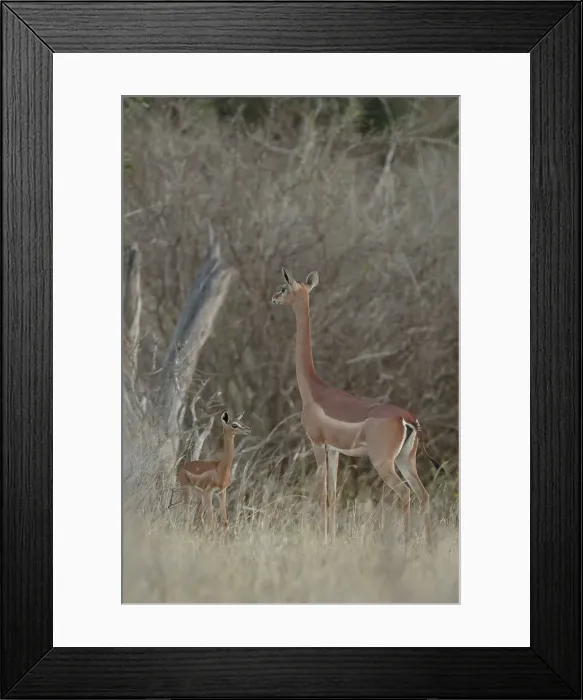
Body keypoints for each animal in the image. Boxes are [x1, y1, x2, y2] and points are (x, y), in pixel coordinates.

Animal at [271, 267, 440, 544]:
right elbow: (332, 496)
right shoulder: (334, 450)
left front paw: (323, 539)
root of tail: (408, 419)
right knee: (423, 494)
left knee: (405, 494)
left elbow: (322, 496)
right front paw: (330, 538)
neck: (314, 391)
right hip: (406, 460)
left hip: (384, 463)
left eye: (284, 287)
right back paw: (427, 545)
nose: (274, 298)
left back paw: (405, 543)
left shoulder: (316, 443)